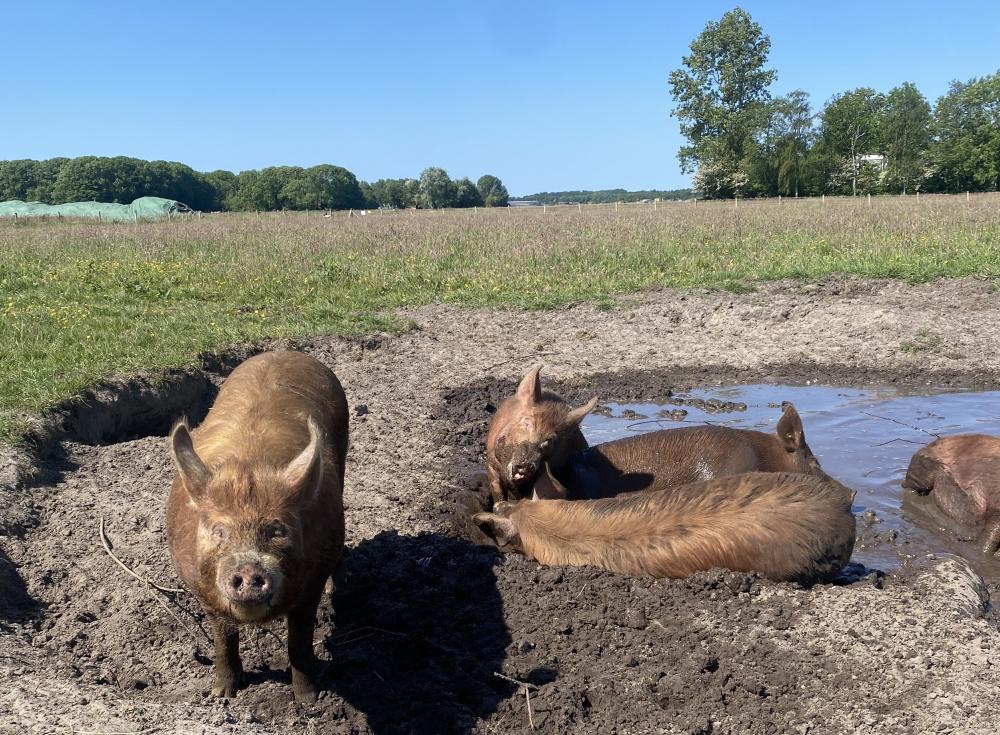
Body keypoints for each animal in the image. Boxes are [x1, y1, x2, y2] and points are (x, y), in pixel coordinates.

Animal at [166, 354, 350, 704]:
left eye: (278, 530)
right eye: (218, 531)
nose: (249, 567)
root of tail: (283, 352)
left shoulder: (311, 586)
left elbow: (300, 642)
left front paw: (308, 700)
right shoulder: (204, 593)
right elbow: (223, 640)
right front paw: (222, 694)